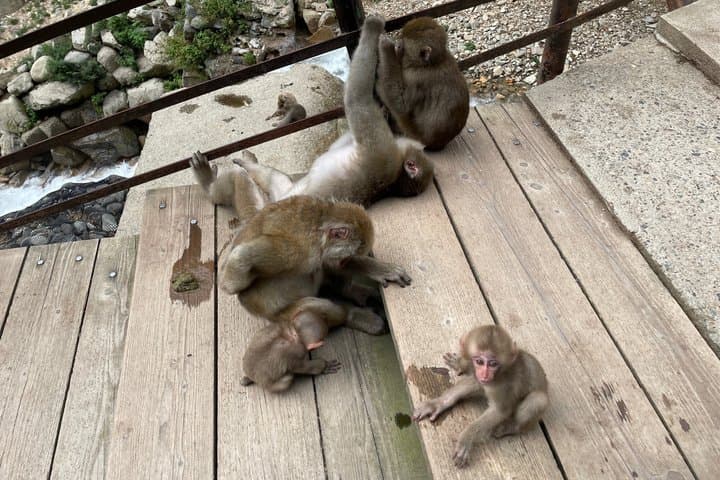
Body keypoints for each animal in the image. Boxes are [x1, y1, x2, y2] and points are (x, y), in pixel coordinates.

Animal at [230, 14, 434, 208]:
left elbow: (357, 100)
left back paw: (246, 165)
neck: (395, 177)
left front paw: (373, 27)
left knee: (272, 178)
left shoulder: (380, 150)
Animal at [376, 17, 470, 151]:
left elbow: (401, 105)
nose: (396, 44)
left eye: (401, 46)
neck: (429, 63)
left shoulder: (416, 78)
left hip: (411, 133)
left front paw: (385, 46)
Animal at [412, 324, 548, 468]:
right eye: (479, 361)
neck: (500, 373)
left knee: (538, 399)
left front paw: (466, 438)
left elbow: (500, 411)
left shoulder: (501, 386)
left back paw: (511, 427)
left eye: (493, 364)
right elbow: (475, 383)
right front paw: (437, 404)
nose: (485, 374)